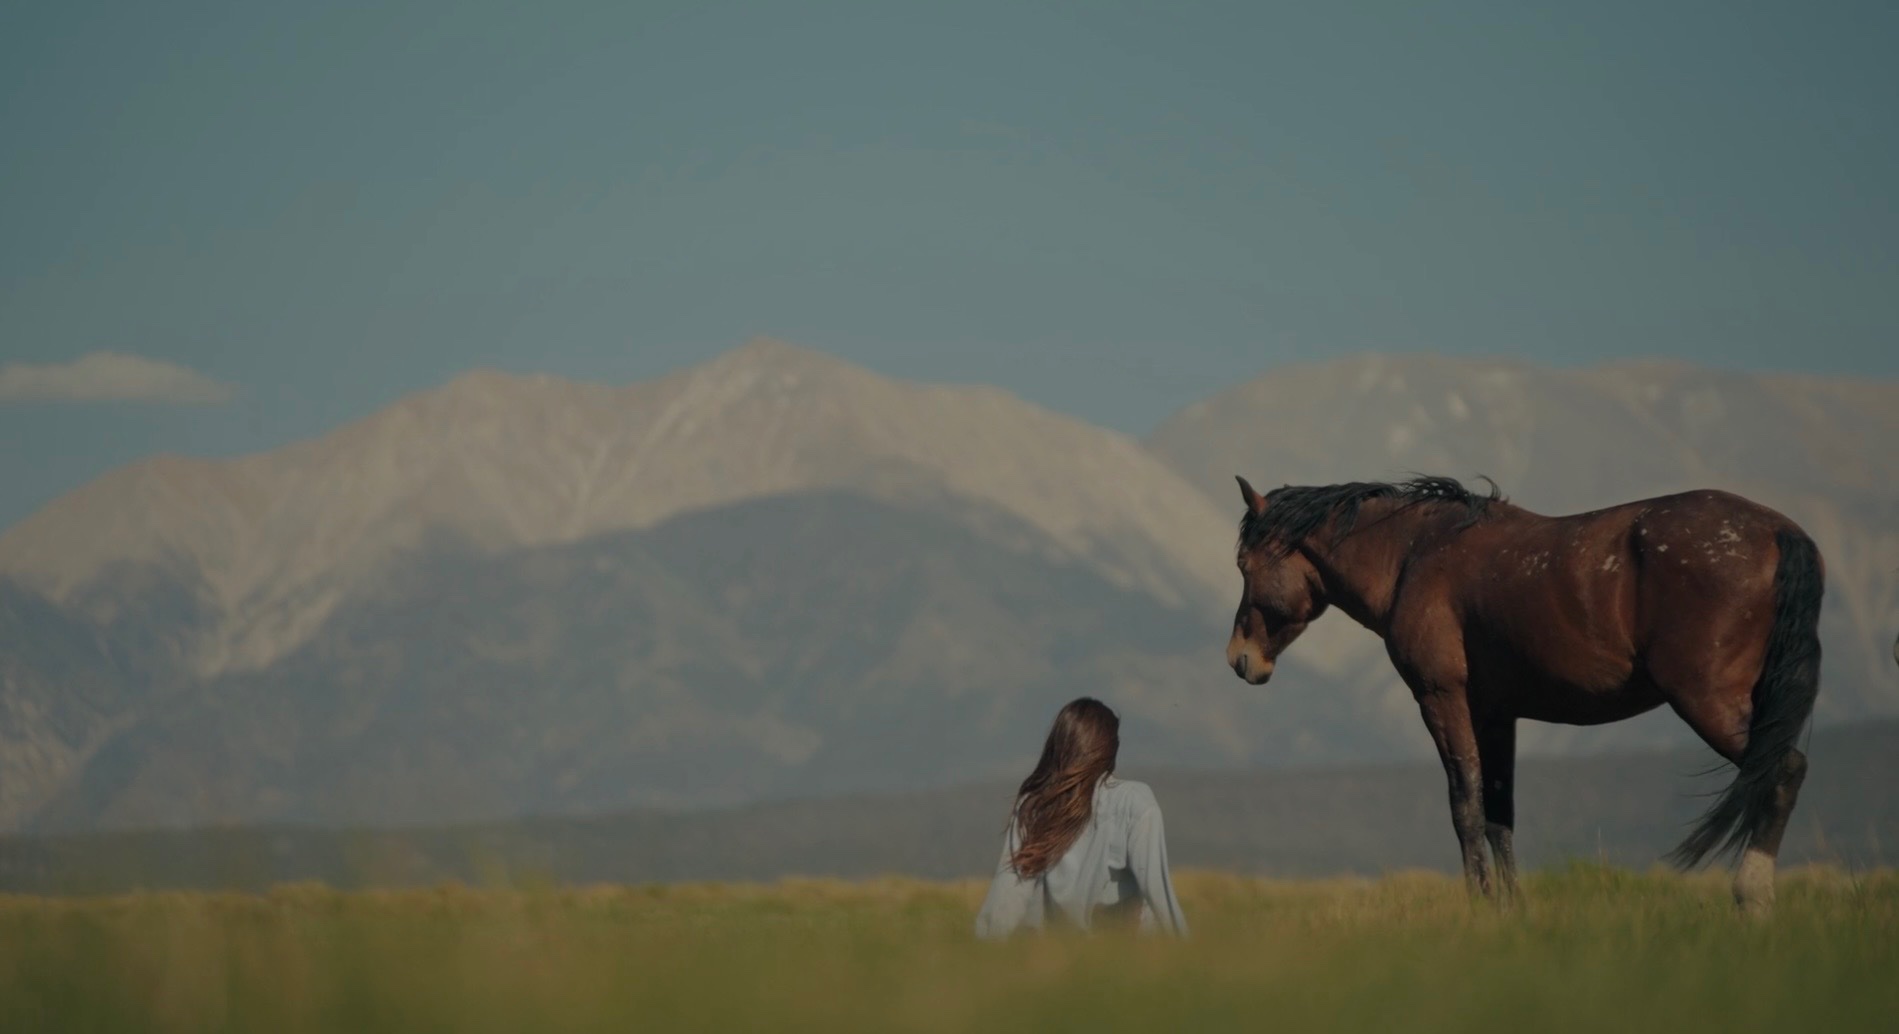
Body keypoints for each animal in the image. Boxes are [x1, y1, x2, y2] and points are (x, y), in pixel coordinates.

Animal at [1224, 474, 1823, 915]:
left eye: (1244, 565)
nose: (1239, 659)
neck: (1413, 554)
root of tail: (1779, 533)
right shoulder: (1495, 716)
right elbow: (1498, 813)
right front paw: (1512, 911)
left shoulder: (1442, 699)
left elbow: (1464, 806)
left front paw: (1481, 908)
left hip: (1709, 702)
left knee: (1783, 769)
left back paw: (1753, 897)